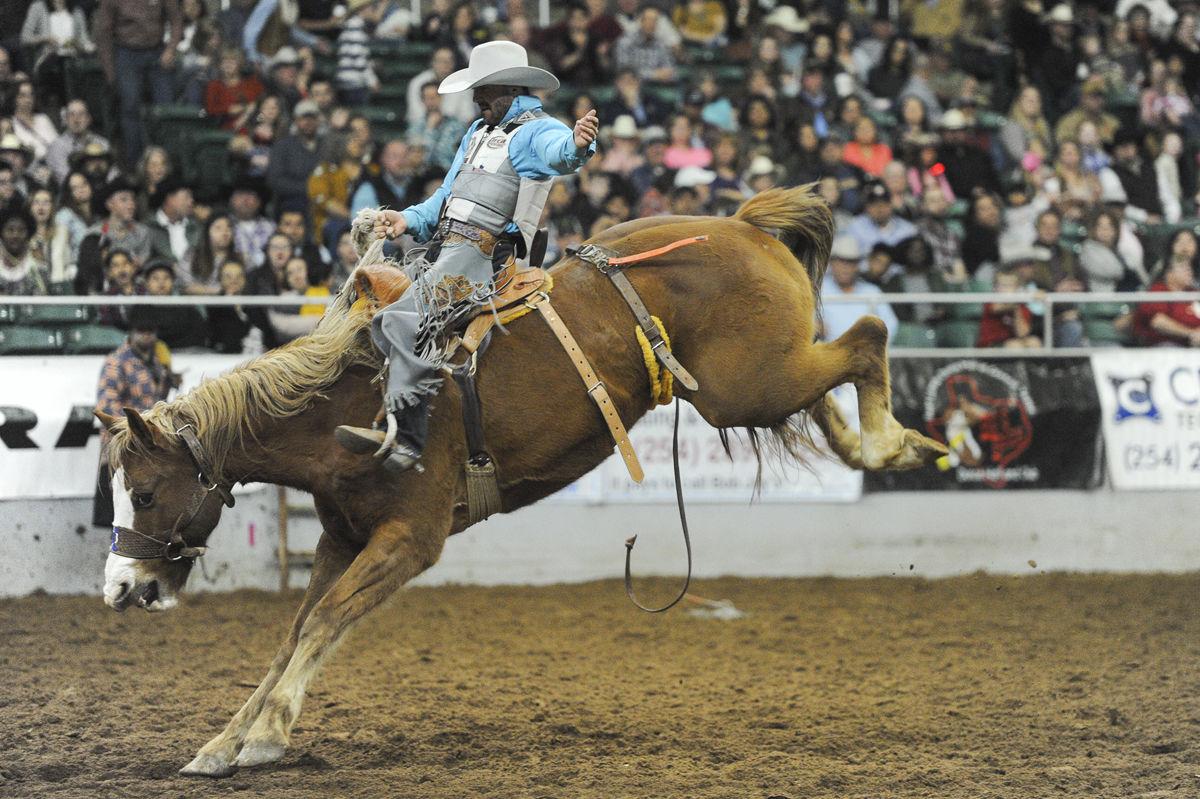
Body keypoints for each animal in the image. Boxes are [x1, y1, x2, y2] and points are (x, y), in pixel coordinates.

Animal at [93, 184, 945, 772]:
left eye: (144, 491)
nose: (120, 587)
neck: (348, 400)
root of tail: (740, 223)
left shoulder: (410, 538)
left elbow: (326, 620)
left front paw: (267, 736)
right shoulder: (341, 537)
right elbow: (295, 633)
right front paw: (221, 743)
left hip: (748, 382)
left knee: (868, 337)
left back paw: (896, 442)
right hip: (751, 380)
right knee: (829, 381)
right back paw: (884, 442)